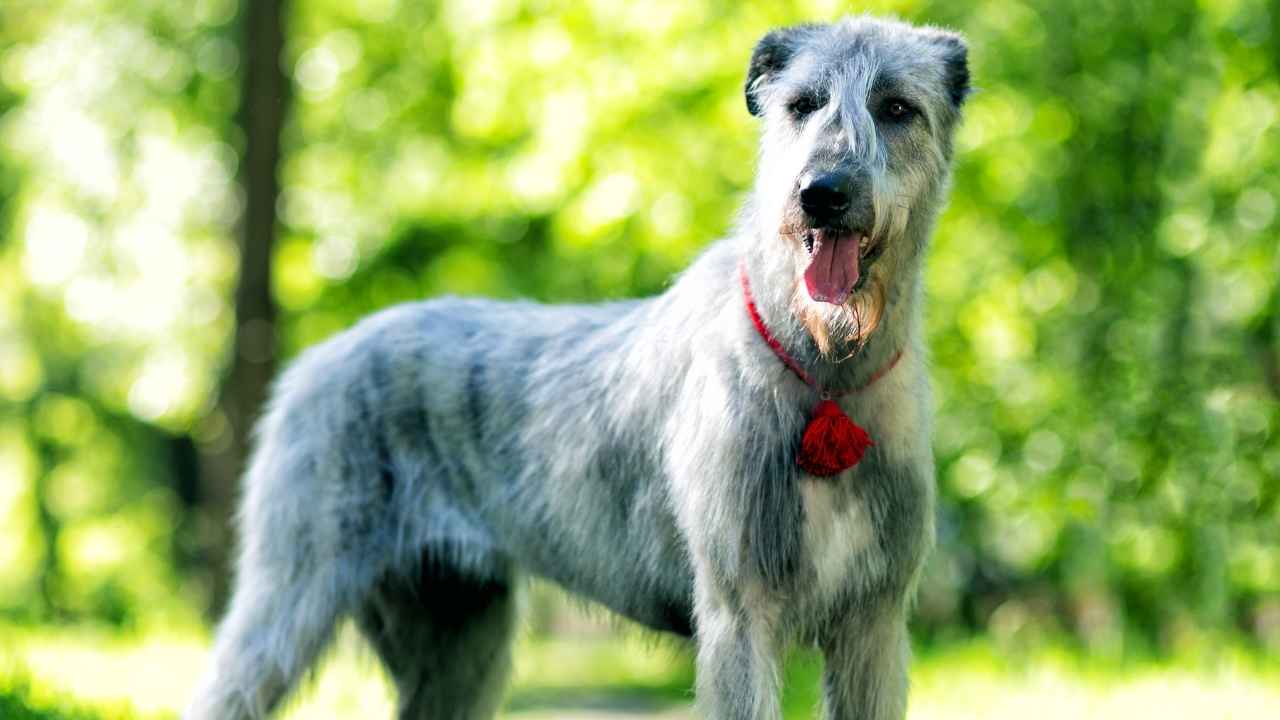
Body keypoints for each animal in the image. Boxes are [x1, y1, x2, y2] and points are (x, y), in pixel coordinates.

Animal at [186, 12, 967, 717]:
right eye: (801, 104)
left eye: (897, 107)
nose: (821, 193)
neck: (824, 370)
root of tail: (316, 358)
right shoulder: (738, 615)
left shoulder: (874, 626)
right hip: (292, 592)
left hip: (458, 638)